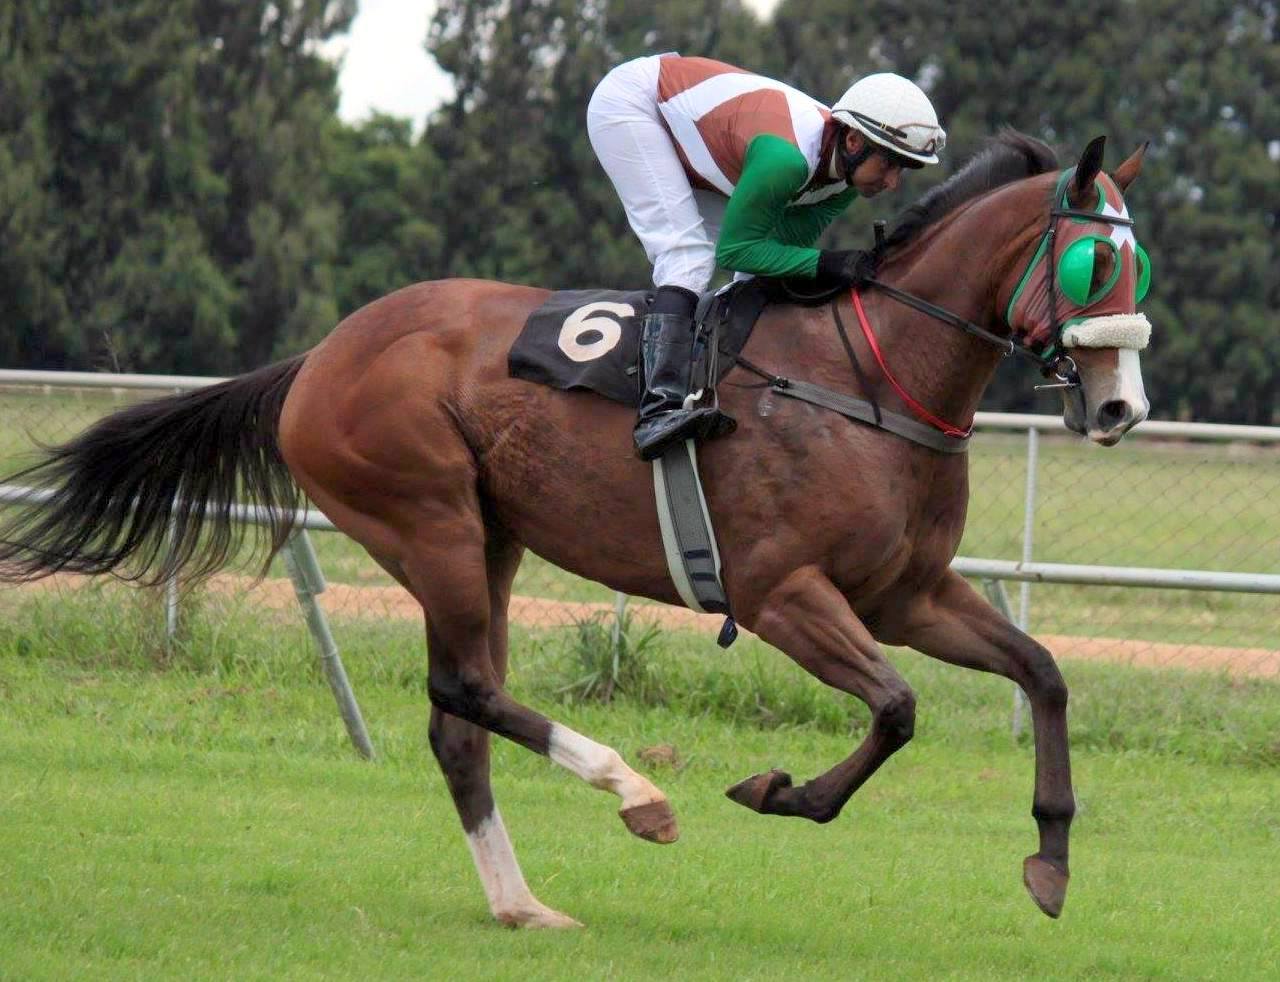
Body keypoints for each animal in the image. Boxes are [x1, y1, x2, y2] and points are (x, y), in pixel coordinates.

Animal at [0, 130, 1151, 928]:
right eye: (1095, 267)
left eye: (1144, 270)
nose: (1118, 408)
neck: (867, 375)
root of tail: (317, 357)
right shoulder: (782, 593)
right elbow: (899, 707)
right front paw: (778, 789)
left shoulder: (905, 592)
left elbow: (1042, 672)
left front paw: (1049, 859)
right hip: (426, 519)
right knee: (465, 688)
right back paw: (634, 791)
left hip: (490, 538)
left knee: (457, 718)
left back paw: (521, 901)